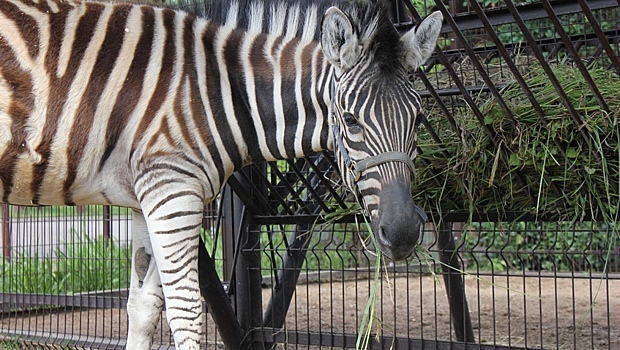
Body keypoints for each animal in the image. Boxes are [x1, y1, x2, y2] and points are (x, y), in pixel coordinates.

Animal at [1, 0, 446, 348]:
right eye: (350, 120)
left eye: (418, 118)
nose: (404, 232)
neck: (220, 90)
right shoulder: (173, 191)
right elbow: (186, 313)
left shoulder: (146, 197)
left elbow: (144, 309)